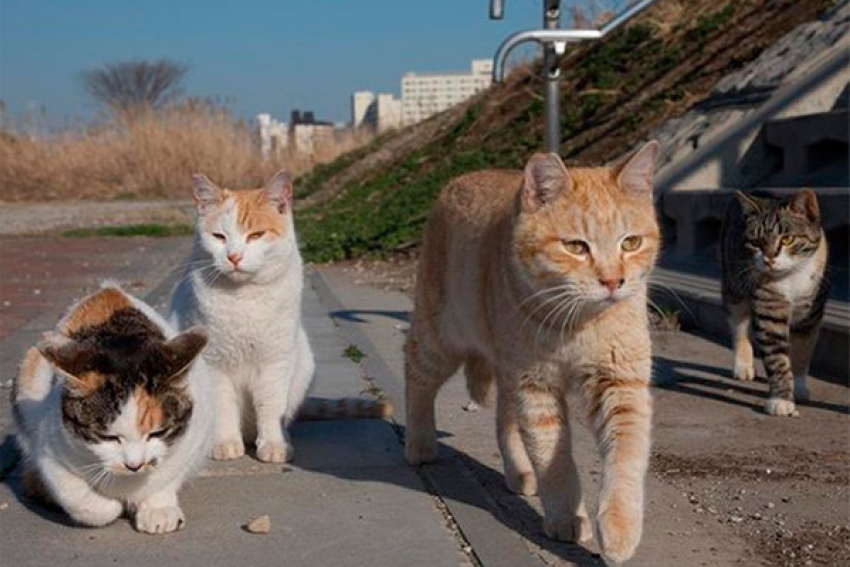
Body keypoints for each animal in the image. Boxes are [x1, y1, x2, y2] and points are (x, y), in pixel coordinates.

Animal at [12, 286, 212, 536]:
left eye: (157, 433)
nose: (134, 465)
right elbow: (80, 499)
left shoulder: (195, 435)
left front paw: (158, 508)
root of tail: (107, 289)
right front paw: (111, 506)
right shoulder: (50, 448)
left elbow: (167, 476)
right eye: (107, 437)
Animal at [172, 171, 390, 464]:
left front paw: (274, 445)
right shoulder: (215, 364)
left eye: (256, 235)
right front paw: (225, 443)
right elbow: (224, 407)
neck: (245, 298)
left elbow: (272, 407)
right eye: (218, 236)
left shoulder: (276, 362)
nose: (233, 256)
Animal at [406, 143, 664, 564]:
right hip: (441, 337)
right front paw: (565, 517)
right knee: (415, 374)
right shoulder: (536, 388)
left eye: (630, 243)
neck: (580, 325)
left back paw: (518, 472)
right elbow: (554, 461)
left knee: (503, 422)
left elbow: (625, 458)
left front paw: (620, 528)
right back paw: (420, 443)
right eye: (576, 247)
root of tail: (459, 179)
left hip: (505, 369)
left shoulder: (620, 383)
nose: (613, 281)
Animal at [716, 191, 828, 418]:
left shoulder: (811, 314)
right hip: (733, 283)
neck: (792, 277)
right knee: (739, 325)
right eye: (756, 241)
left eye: (787, 238)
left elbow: (802, 352)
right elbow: (777, 358)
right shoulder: (769, 306)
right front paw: (781, 400)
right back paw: (744, 367)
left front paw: (799, 388)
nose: (769, 259)